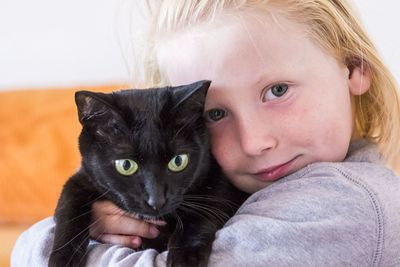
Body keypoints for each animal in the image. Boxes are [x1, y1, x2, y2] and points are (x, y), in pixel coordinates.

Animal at [48, 81, 248, 267]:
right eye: (126, 165)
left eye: (178, 161)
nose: (156, 200)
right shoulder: (81, 180)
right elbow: (68, 210)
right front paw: (62, 259)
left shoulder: (218, 183)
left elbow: (201, 214)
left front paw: (185, 258)